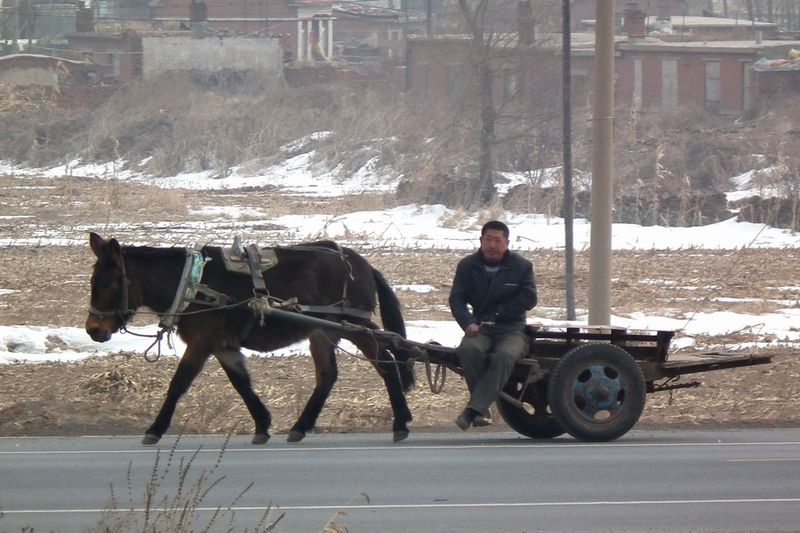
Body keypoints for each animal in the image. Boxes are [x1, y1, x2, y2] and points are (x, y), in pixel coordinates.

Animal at [85, 231, 416, 442]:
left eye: (109, 284)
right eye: (93, 281)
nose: (93, 330)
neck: (193, 284)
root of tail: (362, 263)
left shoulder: (202, 344)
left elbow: (179, 383)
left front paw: (155, 429)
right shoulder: (224, 346)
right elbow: (241, 383)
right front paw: (262, 425)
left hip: (354, 326)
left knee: (386, 364)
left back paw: (401, 422)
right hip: (323, 331)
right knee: (327, 375)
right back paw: (300, 427)